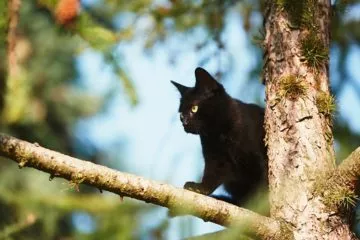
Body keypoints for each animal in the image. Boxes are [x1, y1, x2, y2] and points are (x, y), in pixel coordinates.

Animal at [172, 67, 268, 206]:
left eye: (194, 108)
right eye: (181, 114)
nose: (184, 123)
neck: (219, 134)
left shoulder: (256, 158)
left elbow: (261, 185)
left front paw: (259, 205)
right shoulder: (215, 158)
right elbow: (211, 175)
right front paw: (199, 188)